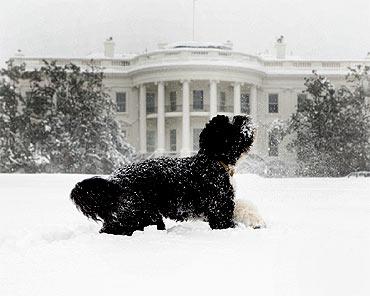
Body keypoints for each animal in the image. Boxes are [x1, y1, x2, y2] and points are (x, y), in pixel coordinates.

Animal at [70, 115, 254, 236]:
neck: (212, 160)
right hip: (131, 215)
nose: (244, 117)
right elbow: (224, 222)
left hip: (147, 216)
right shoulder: (219, 207)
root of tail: (113, 183)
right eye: (231, 125)